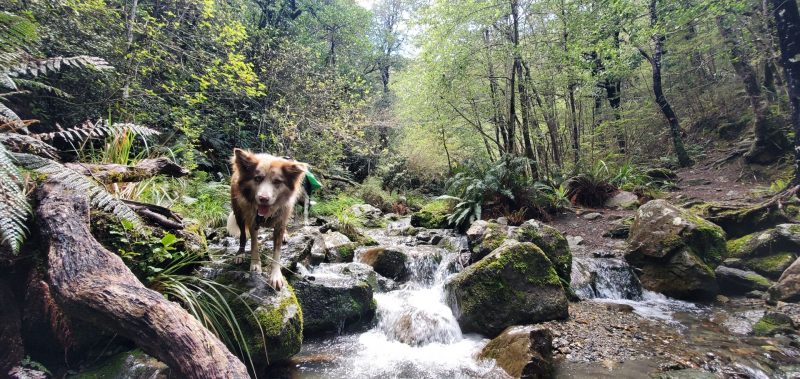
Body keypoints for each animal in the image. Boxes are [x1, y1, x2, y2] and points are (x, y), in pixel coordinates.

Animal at [228, 150, 310, 290]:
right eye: (257, 178)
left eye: (277, 181)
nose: (263, 198)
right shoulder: (252, 221)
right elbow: (254, 244)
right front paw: (255, 264)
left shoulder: (280, 222)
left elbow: (277, 252)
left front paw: (276, 276)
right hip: (238, 213)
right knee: (243, 235)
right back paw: (240, 253)